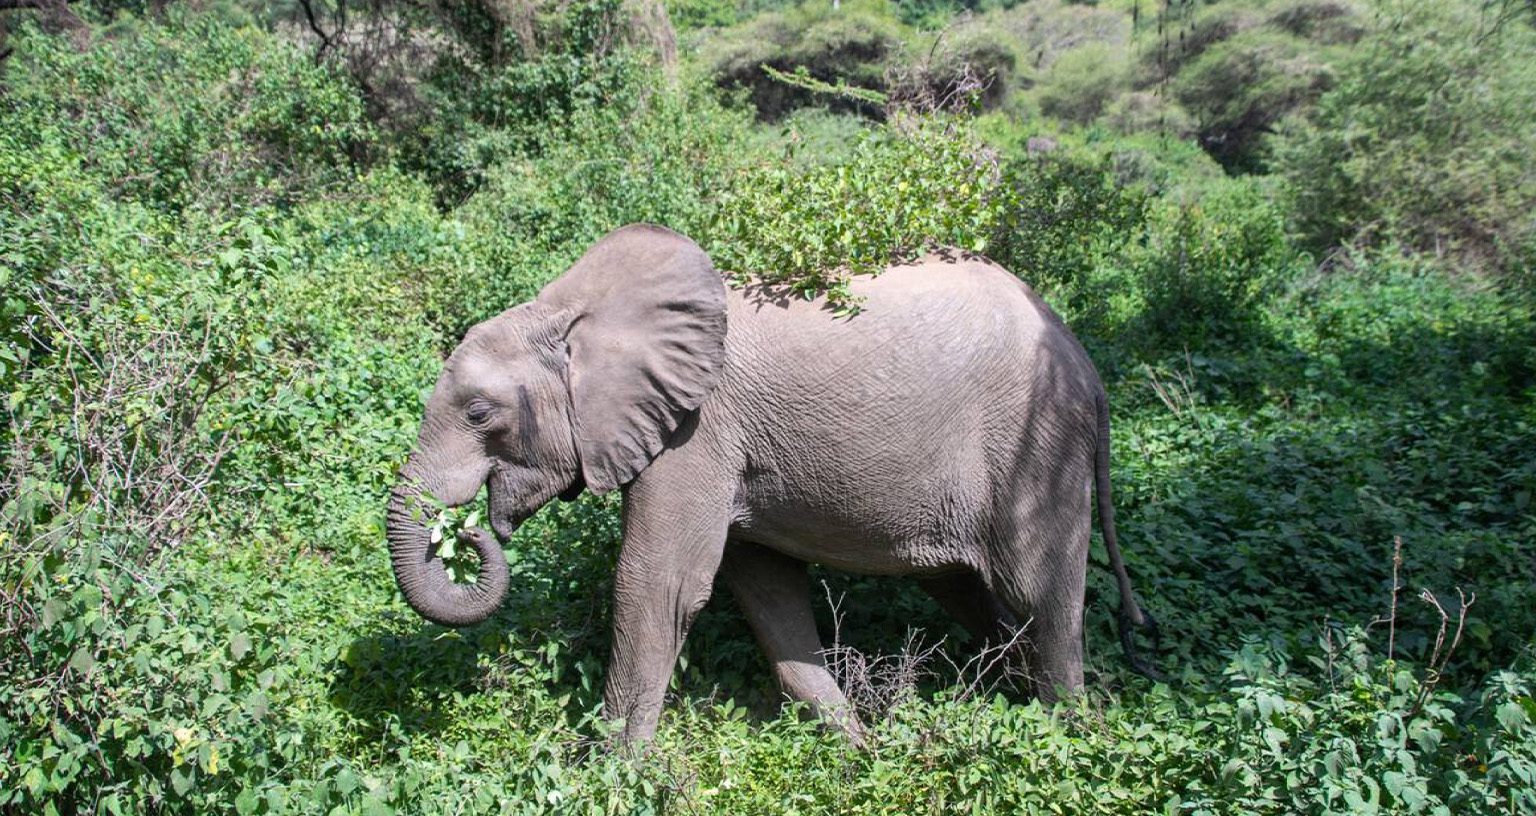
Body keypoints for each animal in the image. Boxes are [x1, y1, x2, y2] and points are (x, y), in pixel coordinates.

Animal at [385, 223, 1159, 744]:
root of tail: (1088, 368)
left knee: (1039, 594)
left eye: (479, 413)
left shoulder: (694, 433)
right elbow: (765, 593)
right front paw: (858, 755)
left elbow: (658, 586)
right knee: (974, 593)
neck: (570, 309)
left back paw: (1067, 737)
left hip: (1036, 443)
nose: (468, 533)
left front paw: (610, 778)